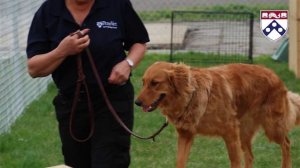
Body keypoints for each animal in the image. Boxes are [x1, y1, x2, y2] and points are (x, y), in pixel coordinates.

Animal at [135, 61, 300, 168]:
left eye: (154, 83)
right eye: (143, 82)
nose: (136, 102)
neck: (192, 94)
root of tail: (275, 75)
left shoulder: (230, 132)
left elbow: (235, 162)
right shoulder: (185, 135)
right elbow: (180, 162)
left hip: (271, 127)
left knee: (286, 143)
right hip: (244, 132)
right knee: (250, 155)